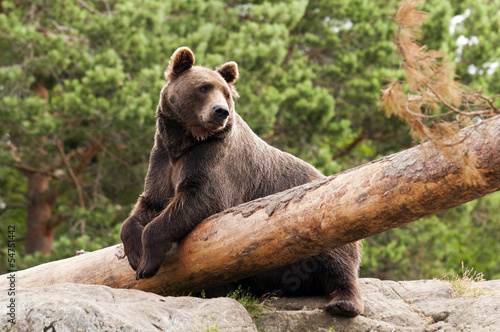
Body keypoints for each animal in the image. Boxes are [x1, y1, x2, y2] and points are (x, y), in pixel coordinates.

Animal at [120, 46, 364, 316]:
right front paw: (135, 254)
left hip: (325, 212)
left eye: (226, 93)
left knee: (336, 258)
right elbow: (149, 204)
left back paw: (343, 302)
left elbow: (200, 198)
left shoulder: (214, 161)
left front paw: (146, 264)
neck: (186, 141)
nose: (220, 112)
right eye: (203, 87)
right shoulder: (164, 159)